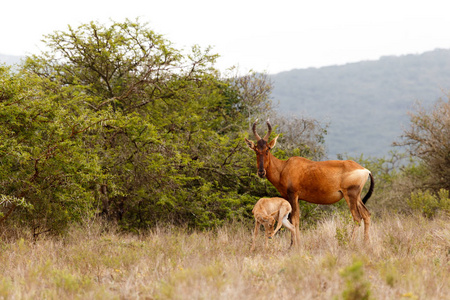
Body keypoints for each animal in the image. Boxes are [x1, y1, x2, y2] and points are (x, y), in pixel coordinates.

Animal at [244, 119, 374, 246]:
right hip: (357, 197)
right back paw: (366, 243)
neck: (284, 167)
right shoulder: (290, 198)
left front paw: (295, 245)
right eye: (256, 150)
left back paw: (351, 243)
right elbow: (292, 219)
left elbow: (295, 220)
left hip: (350, 195)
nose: (261, 172)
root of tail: (365, 170)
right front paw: (292, 245)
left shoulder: (293, 195)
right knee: (366, 214)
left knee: (357, 217)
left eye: (267, 150)